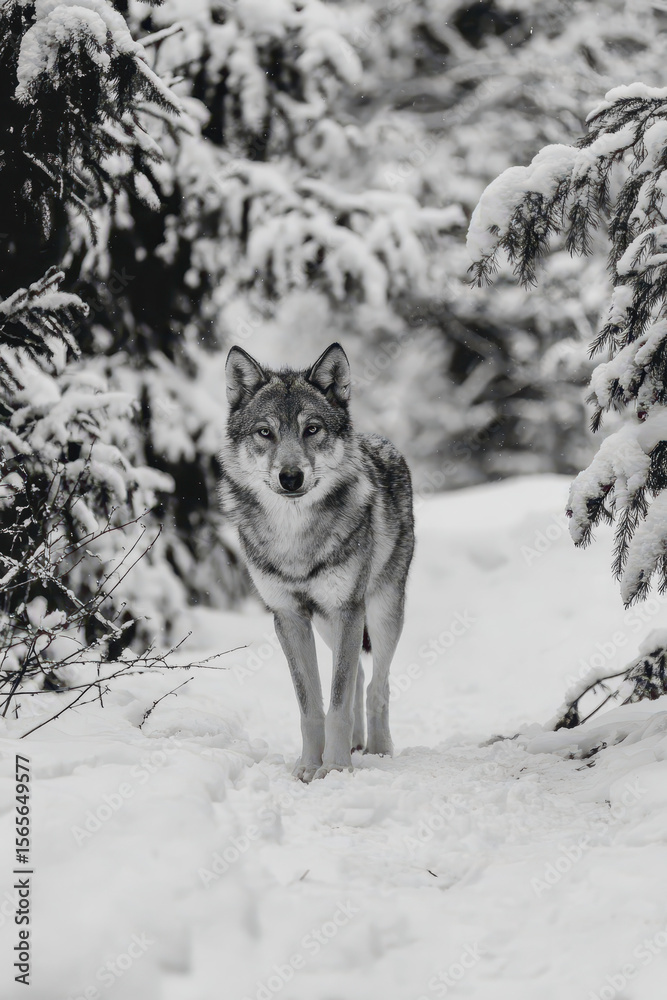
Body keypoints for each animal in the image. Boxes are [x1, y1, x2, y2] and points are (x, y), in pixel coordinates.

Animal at [218, 342, 414, 782]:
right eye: (265, 432)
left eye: (312, 429)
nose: (291, 476)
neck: (295, 538)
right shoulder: (289, 616)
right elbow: (311, 704)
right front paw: (310, 764)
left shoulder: (346, 608)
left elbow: (336, 703)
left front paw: (336, 768)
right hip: (328, 623)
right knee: (359, 672)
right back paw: (358, 744)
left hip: (381, 611)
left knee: (377, 683)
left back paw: (378, 750)